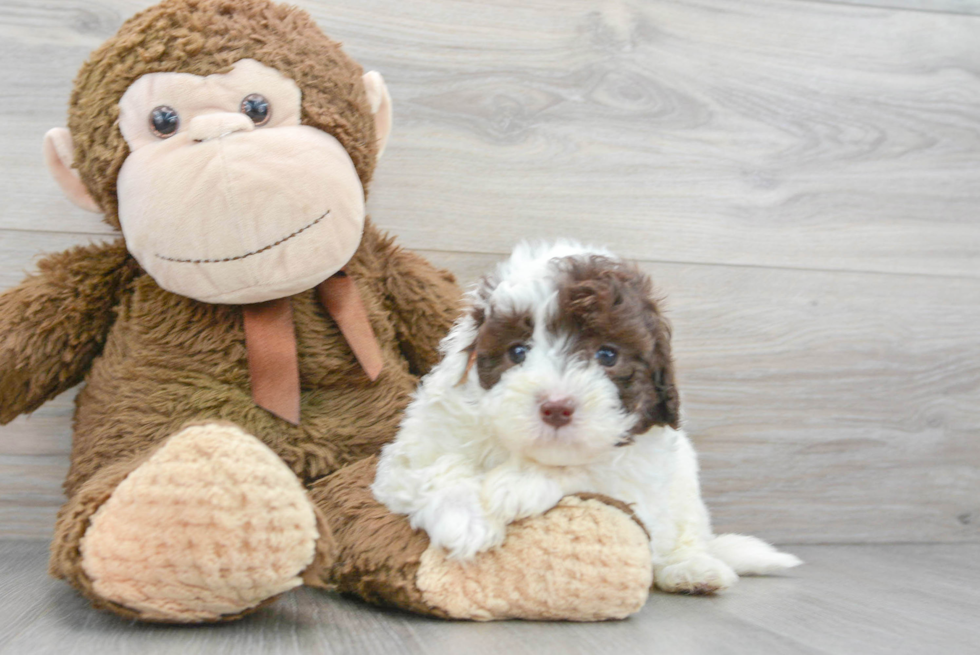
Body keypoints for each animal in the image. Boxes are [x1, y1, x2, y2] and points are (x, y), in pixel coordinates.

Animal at [372, 241, 800, 596]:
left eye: (607, 355)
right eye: (518, 352)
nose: (557, 407)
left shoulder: (638, 473)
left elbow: (588, 469)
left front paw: (518, 485)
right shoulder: (412, 454)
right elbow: (436, 470)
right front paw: (465, 518)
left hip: (685, 491)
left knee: (684, 536)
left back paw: (692, 569)